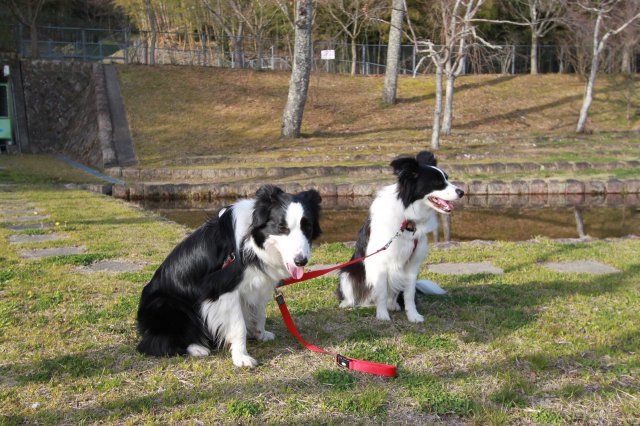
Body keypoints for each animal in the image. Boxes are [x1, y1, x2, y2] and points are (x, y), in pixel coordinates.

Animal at [137, 185, 322, 368]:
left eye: (308, 227)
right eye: (282, 228)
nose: (301, 261)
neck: (251, 240)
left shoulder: (258, 285)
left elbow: (259, 313)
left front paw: (260, 334)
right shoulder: (223, 288)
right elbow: (238, 324)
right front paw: (241, 357)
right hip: (166, 304)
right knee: (155, 343)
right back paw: (197, 348)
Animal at [338, 151, 462, 322]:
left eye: (447, 179)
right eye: (437, 182)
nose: (462, 192)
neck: (408, 221)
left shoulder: (412, 265)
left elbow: (409, 294)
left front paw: (413, 315)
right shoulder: (380, 263)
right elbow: (382, 292)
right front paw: (382, 315)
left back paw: (393, 305)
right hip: (347, 273)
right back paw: (349, 304)